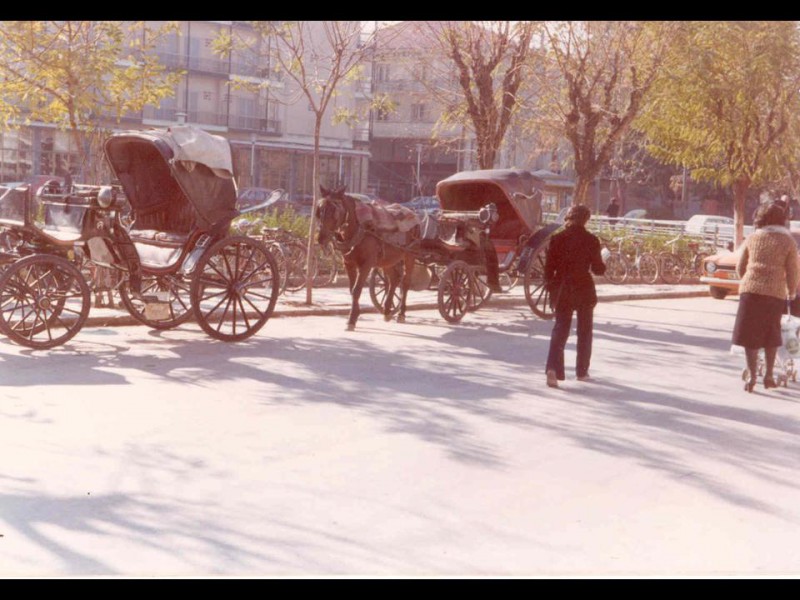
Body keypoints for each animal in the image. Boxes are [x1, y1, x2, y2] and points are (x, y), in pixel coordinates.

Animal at [316, 185, 417, 331]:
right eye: (319, 209)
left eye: (334, 210)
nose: (321, 238)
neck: (358, 230)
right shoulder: (349, 263)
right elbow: (352, 290)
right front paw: (355, 315)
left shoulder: (366, 264)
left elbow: (357, 290)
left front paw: (352, 319)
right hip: (388, 259)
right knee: (393, 280)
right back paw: (387, 311)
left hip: (410, 255)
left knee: (405, 282)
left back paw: (401, 313)